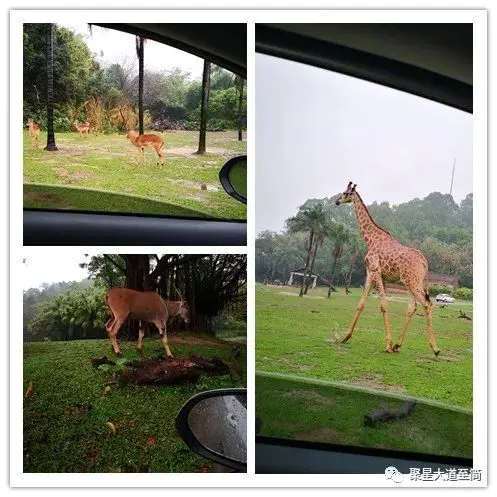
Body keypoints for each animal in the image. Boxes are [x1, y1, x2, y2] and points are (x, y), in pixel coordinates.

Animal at [334, 180, 438, 354]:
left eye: (345, 193)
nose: (336, 201)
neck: (371, 239)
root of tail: (425, 262)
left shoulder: (375, 270)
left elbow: (383, 305)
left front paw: (388, 344)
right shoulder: (371, 273)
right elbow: (361, 304)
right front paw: (345, 337)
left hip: (411, 282)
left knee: (426, 303)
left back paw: (435, 348)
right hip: (412, 282)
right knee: (412, 307)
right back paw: (398, 345)